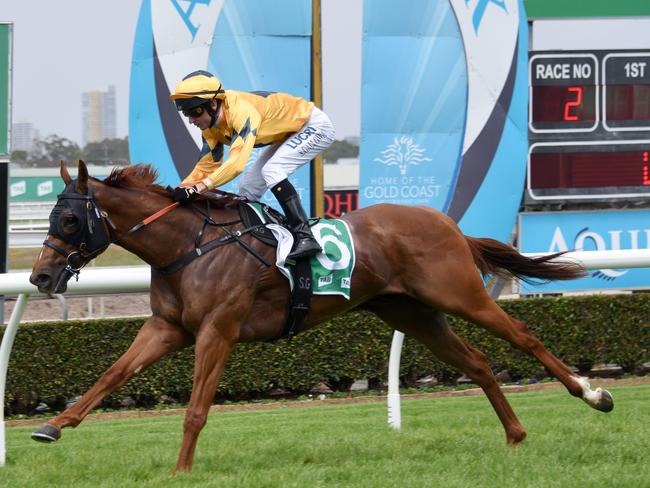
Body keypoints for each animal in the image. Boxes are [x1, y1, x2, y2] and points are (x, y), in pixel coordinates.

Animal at [29, 162, 608, 474]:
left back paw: (592, 394)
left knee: (524, 338)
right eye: (53, 216)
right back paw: (515, 435)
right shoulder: (167, 328)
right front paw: (54, 426)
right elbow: (111, 375)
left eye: (71, 219)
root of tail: (443, 220)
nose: (39, 277)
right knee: (479, 362)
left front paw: (181, 469)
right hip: (412, 312)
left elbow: (196, 408)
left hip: (459, 295)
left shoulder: (218, 331)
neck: (190, 246)